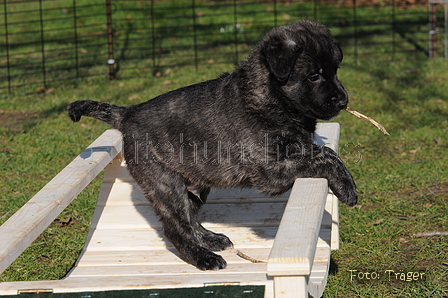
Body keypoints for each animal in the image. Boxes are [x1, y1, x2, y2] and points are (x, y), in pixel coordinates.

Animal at [69, 20, 356, 272]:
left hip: (196, 184)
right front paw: (347, 188)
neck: (268, 97)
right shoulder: (268, 172)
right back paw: (203, 257)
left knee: (190, 220)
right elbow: (323, 157)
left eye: (335, 70)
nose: (344, 100)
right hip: (165, 184)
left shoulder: (293, 150)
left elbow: (323, 152)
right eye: (314, 75)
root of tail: (128, 114)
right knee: (176, 228)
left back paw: (211, 239)